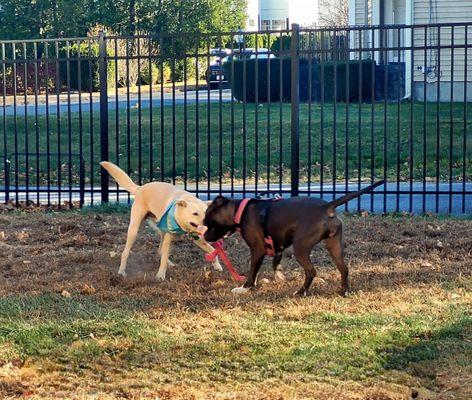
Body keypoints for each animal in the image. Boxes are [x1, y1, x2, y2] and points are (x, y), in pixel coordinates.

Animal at [203, 183, 384, 296]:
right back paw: (344, 291)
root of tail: (326, 207)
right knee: (344, 268)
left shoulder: (257, 250)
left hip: (301, 248)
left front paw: (245, 288)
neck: (241, 211)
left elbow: (252, 272)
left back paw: (301, 291)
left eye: (209, 223)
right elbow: (276, 263)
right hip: (334, 246)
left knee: (311, 271)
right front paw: (279, 276)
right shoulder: (278, 245)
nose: (204, 236)